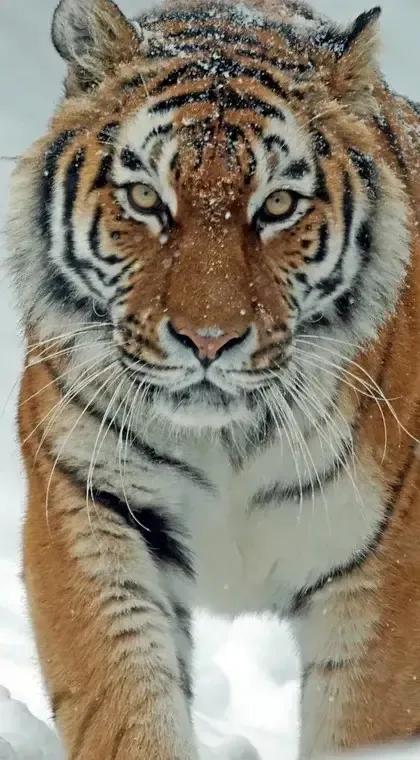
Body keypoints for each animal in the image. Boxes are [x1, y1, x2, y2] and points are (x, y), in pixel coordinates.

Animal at [7, 0, 420, 756]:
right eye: (146, 197)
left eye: (278, 206)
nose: (208, 340)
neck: (228, 442)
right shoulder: (89, 504)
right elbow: (126, 704)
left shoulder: (387, 564)